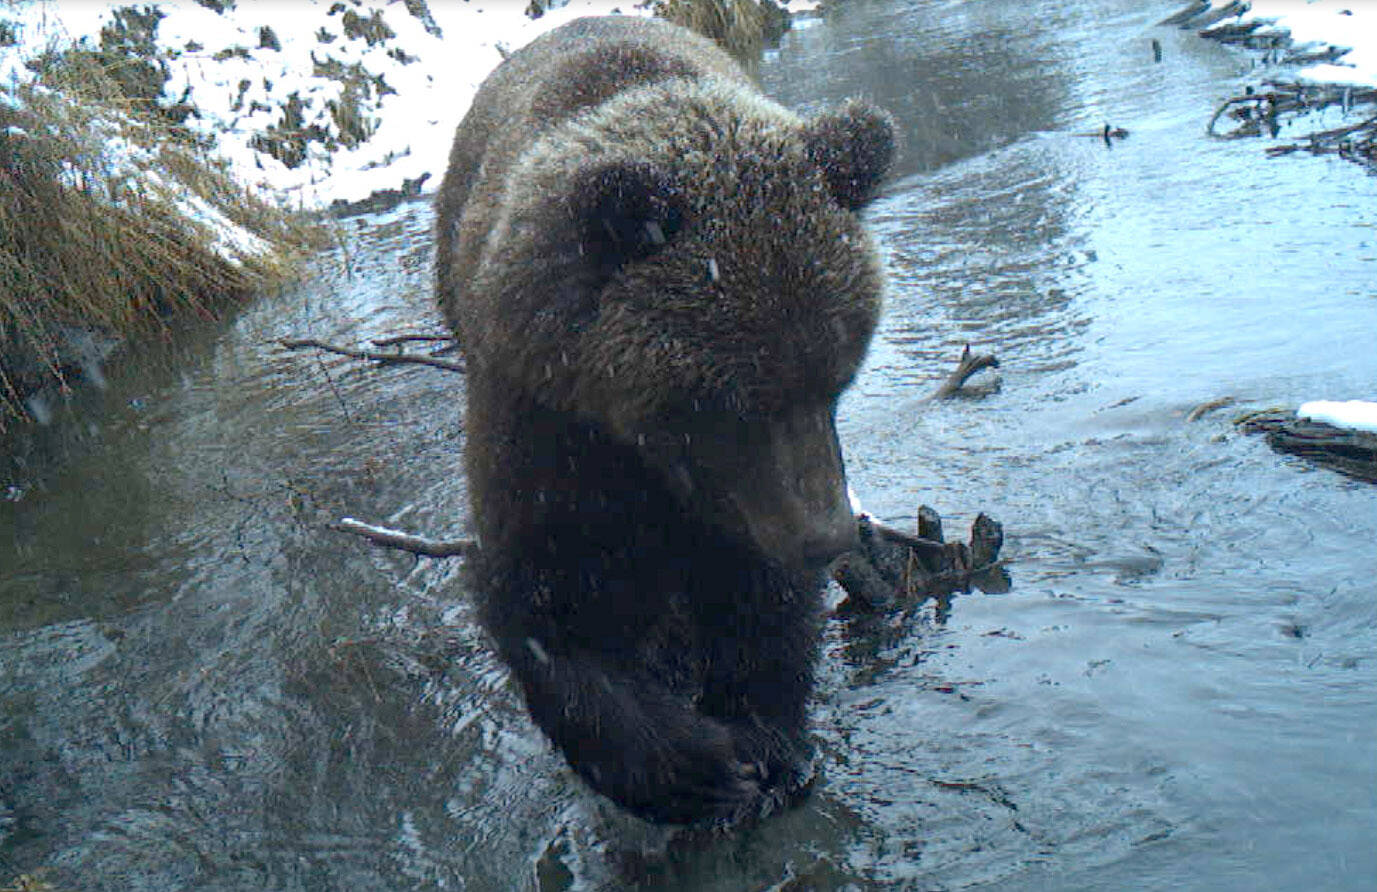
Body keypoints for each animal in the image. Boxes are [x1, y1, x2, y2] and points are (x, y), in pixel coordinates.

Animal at [434, 15, 894, 826]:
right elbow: (548, 603)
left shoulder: (746, 494)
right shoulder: (544, 421)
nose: (828, 536)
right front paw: (695, 767)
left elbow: (757, 592)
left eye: (838, 375)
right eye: (729, 399)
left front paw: (766, 743)